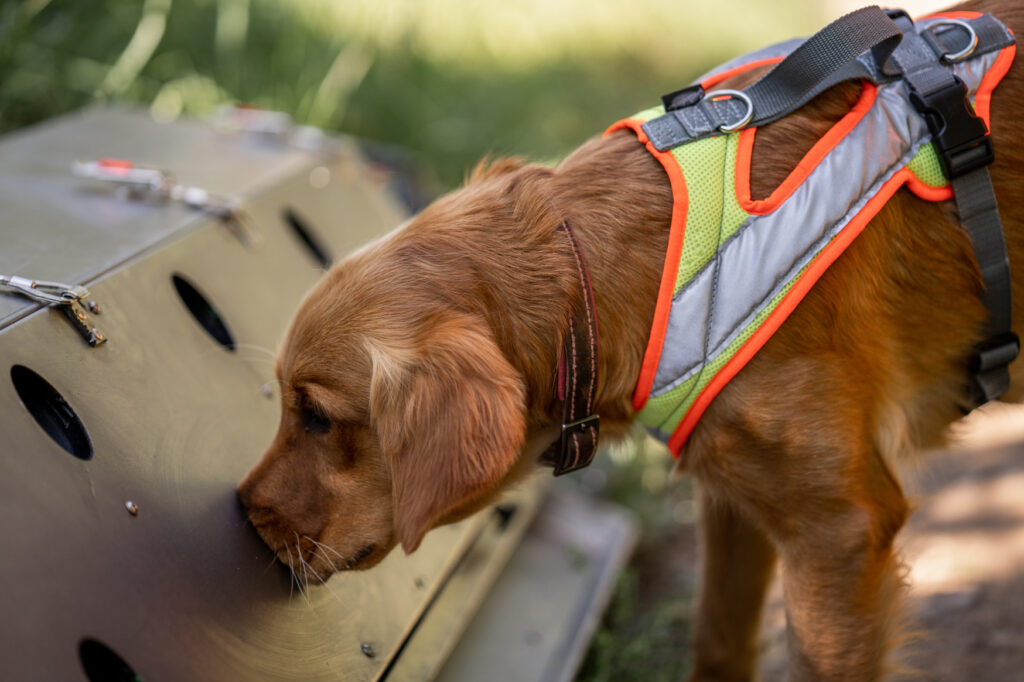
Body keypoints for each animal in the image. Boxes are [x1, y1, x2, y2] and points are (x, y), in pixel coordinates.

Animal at [235, 1, 1019, 675]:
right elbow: (718, 642)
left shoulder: (840, 533)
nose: (243, 509)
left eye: (317, 417)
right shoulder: (736, 501)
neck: (606, 267)